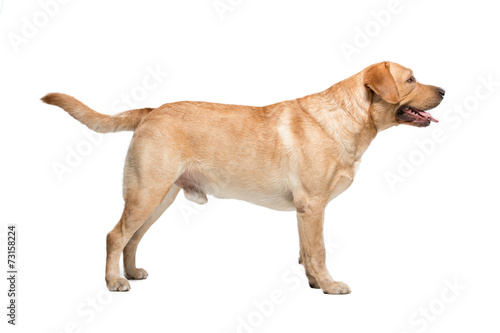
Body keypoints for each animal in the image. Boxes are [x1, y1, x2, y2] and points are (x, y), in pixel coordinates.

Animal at [41, 61, 444, 292]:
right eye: (411, 79)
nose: (443, 90)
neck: (349, 116)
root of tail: (151, 110)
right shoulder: (313, 205)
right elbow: (318, 250)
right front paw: (330, 285)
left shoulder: (304, 211)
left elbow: (305, 251)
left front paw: (314, 284)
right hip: (146, 193)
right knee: (115, 236)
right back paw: (113, 282)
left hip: (158, 198)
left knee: (132, 239)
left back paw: (131, 273)